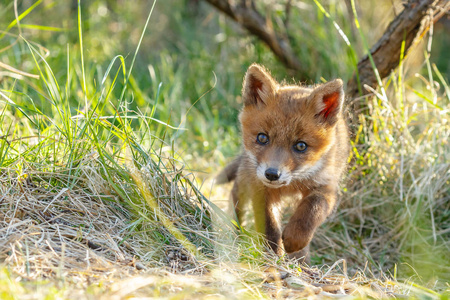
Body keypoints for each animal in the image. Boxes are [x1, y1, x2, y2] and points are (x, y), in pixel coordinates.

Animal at [216, 63, 350, 262]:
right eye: (262, 138)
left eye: (301, 146)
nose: (272, 174)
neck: (291, 184)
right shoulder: (260, 188)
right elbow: (269, 227)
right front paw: (273, 256)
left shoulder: (326, 186)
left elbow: (311, 212)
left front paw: (294, 241)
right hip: (246, 177)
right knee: (236, 198)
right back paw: (236, 231)